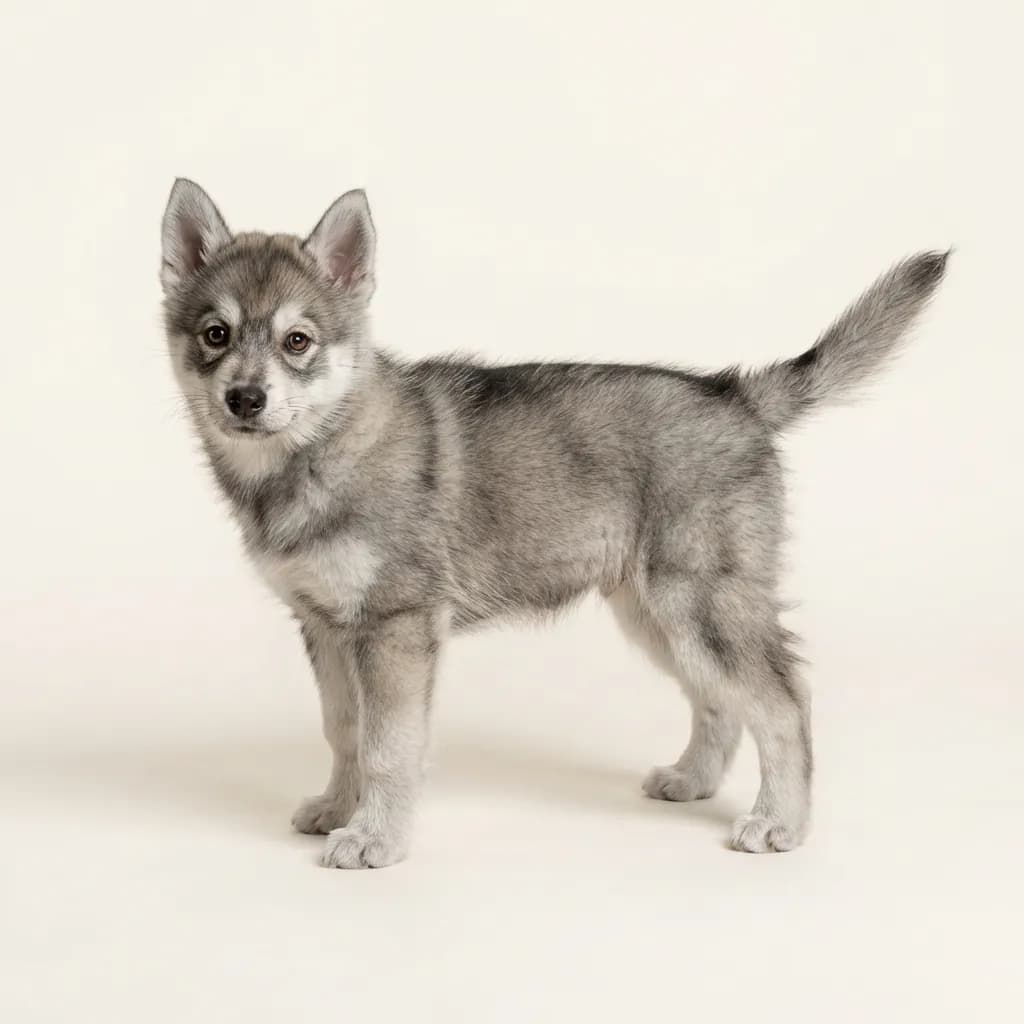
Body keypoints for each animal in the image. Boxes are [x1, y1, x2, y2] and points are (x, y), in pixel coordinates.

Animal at [160, 179, 947, 867]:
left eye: (297, 341)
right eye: (215, 334)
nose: (245, 399)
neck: (320, 449)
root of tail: (736, 394)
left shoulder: (394, 627)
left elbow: (387, 746)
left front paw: (375, 838)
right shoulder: (326, 626)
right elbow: (343, 729)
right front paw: (336, 807)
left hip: (700, 607)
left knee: (783, 701)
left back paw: (780, 821)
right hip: (657, 616)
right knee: (721, 701)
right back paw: (692, 781)